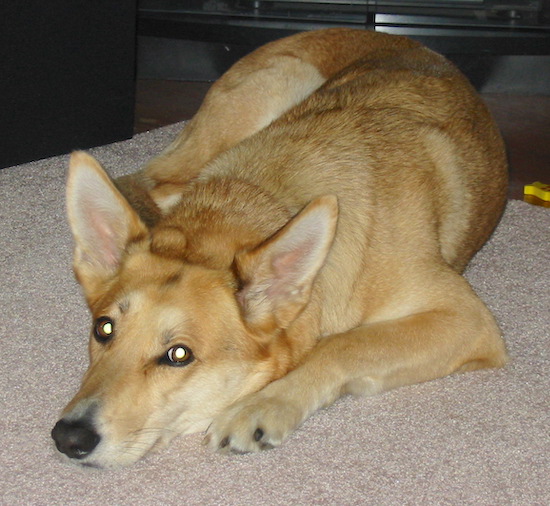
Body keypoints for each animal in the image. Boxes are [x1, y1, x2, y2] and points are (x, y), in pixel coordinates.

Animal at [51, 27, 508, 468]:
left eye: (178, 355)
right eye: (103, 328)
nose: (68, 438)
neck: (261, 196)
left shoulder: (466, 320)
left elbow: (343, 344)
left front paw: (262, 406)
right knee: (155, 183)